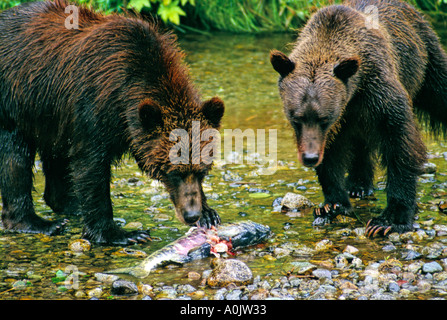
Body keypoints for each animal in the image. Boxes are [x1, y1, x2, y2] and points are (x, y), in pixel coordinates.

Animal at [0, 0, 224, 245]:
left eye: (202, 172)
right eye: (173, 172)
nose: (192, 214)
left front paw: (209, 213)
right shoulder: (92, 110)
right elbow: (90, 167)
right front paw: (120, 233)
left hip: (50, 114)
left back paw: (70, 204)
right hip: (15, 102)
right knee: (15, 159)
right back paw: (37, 223)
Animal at [270, 0, 447, 236]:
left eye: (324, 118)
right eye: (296, 118)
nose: (309, 157)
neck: (353, 93)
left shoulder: (379, 92)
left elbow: (400, 142)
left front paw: (390, 219)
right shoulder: (341, 120)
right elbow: (332, 154)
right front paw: (332, 205)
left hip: (425, 57)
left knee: (440, 91)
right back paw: (358, 185)